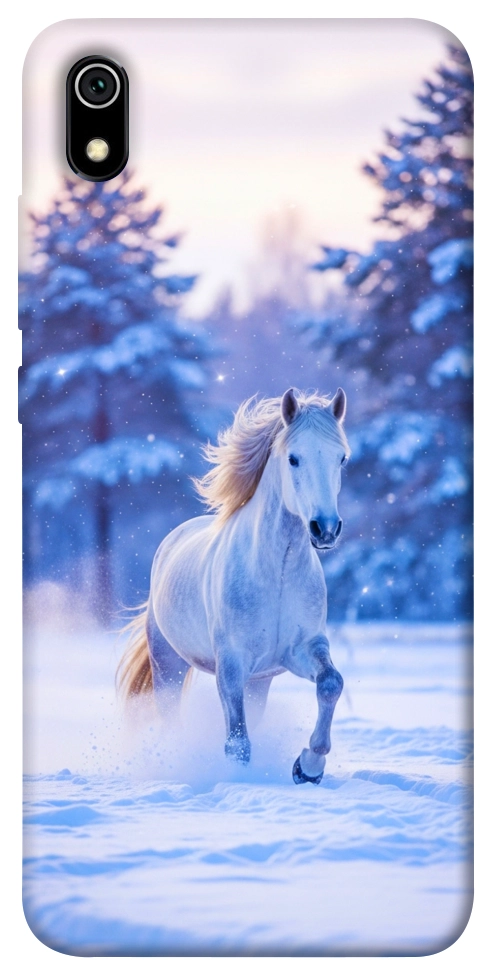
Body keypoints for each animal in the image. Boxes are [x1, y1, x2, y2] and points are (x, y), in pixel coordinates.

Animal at [118, 387, 350, 784]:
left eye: (341, 459)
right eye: (294, 458)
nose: (325, 529)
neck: (277, 574)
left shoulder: (301, 649)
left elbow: (331, 683)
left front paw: (308, 767)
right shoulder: (231, 664)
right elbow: (237, 742)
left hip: (259, 681)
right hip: (168, 665)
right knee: (170, 717)